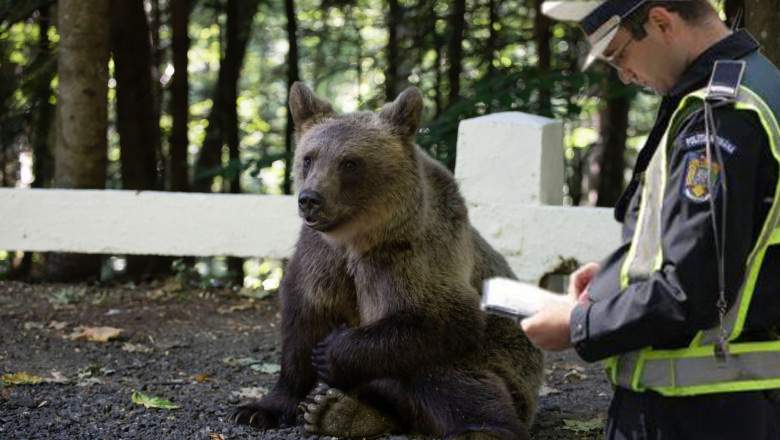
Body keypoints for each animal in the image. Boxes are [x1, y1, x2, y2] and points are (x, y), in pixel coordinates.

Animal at [233, 83, 544, 440]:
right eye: (309, 158)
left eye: (350, 162)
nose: (310, 199)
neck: (357, 237)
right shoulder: (319, 258)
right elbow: (303, 324)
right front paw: (259, 409)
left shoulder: (410, 256)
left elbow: (442, 317)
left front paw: (330, 352)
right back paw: (339, 411)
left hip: (508, 371)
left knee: (449, 372)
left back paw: (481, 430)